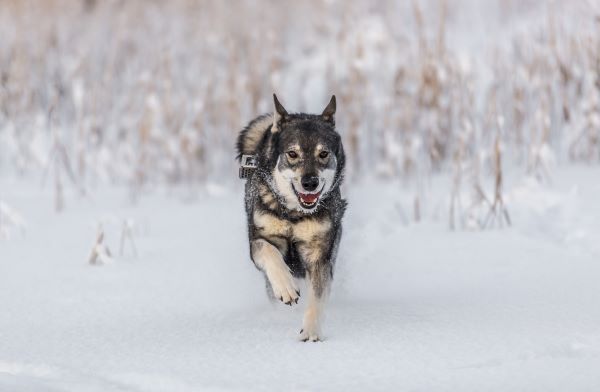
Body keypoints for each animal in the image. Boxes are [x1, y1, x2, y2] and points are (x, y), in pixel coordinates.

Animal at [236, 94, 346, 340]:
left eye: (323, 154)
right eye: (292, 154)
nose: (309, 183)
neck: (294, 215)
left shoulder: (319, 255)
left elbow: (317, 297)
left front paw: (312, 331)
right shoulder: (257, 240)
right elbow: (268, 252)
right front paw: (286, 288)